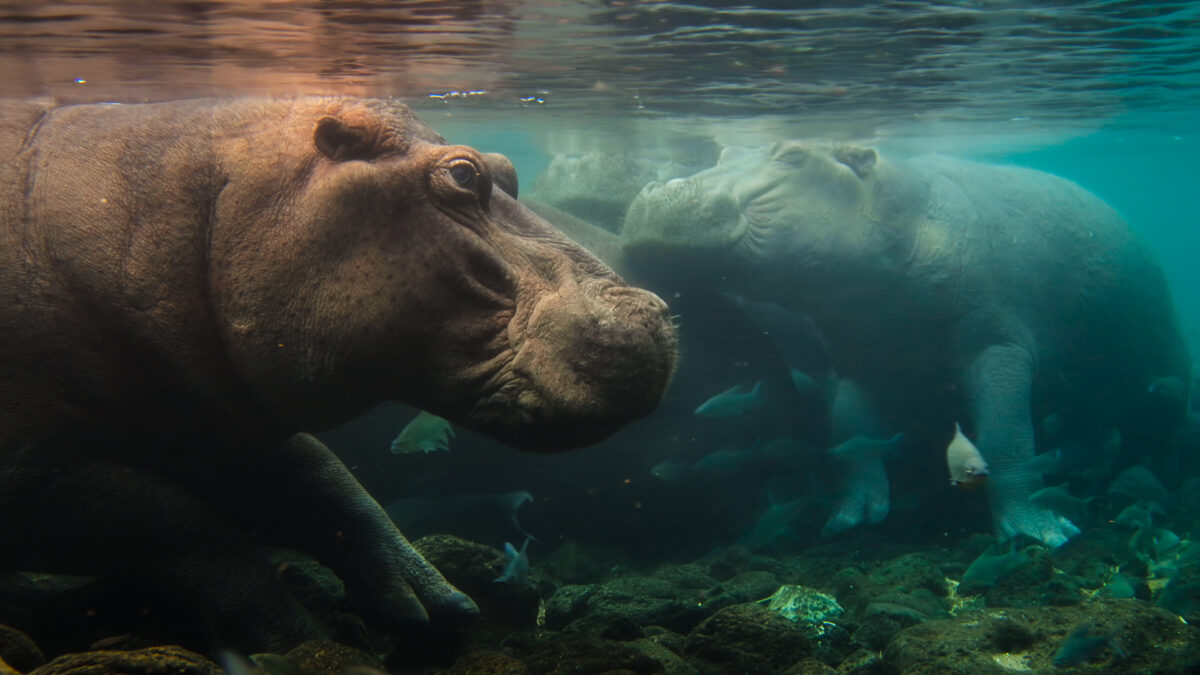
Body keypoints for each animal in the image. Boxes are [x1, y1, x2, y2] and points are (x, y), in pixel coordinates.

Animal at [0, 98, 676, 651]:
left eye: (508, 168)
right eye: (463, 174)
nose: (655, 313)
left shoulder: (214, 424)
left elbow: (328, 482)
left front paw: (432, 603)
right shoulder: (35, 477)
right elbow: (189, 529)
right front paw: (298, 641)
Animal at [621, 141, 1189, 547]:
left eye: (793, 154)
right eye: (723, 154)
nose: (660, 186)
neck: (912, 204)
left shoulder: (996, 341)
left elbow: (1007, 434)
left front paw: (1041, 533)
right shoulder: (858, 356)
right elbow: (851, 432)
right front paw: (849, 520)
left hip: (1168, 372)